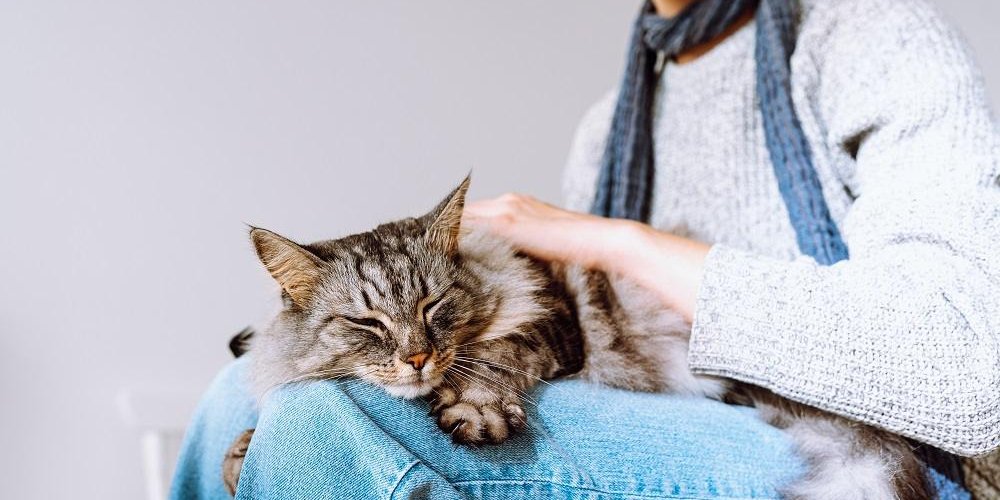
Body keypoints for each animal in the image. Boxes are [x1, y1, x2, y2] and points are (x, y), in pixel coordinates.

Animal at [223, 178, 932, 498]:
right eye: (366, 323)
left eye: (433, 305)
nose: (418, 357)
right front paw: (240, 452)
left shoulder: (553, 315)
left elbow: (496, 355)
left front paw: (474, 406)